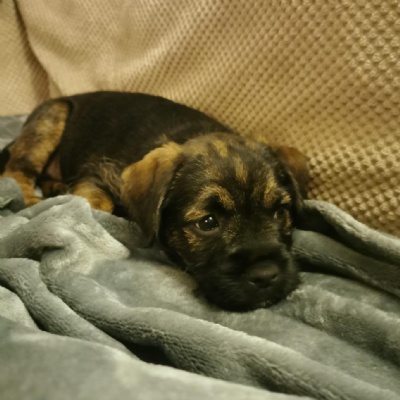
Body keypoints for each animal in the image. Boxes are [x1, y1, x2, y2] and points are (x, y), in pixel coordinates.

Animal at [0, 92, 309, 310]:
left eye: (280, 212)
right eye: (207, 223)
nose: (266, 275)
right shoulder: (97, 174)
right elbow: (95, 204)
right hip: (51, 120)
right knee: (16, 170)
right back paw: (31, 199)